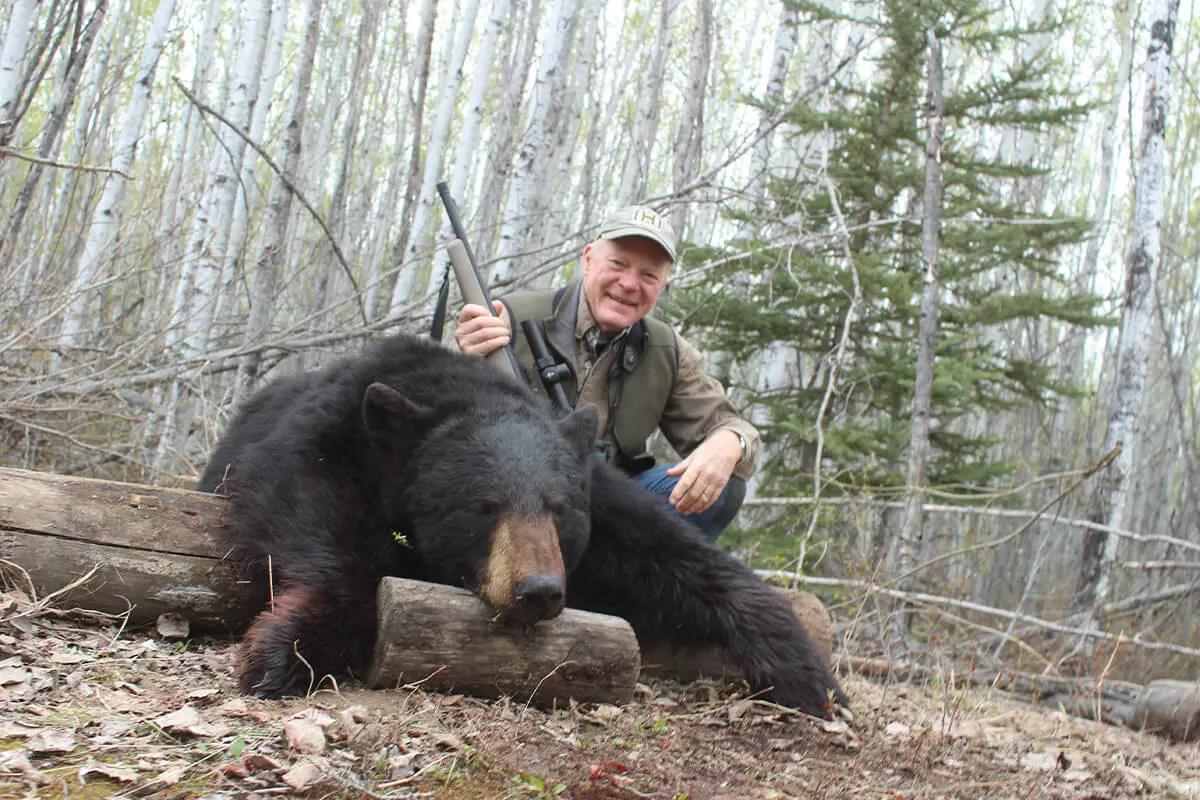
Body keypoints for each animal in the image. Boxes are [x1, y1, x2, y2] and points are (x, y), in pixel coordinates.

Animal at [199, 333, 847, 719]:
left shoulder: (597, 494)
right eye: (484, 506)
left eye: (557, 509)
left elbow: (681, 561)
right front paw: (283, 648)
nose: (538, 590)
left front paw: (809, 675)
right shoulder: (326, 440)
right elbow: (307, 512)